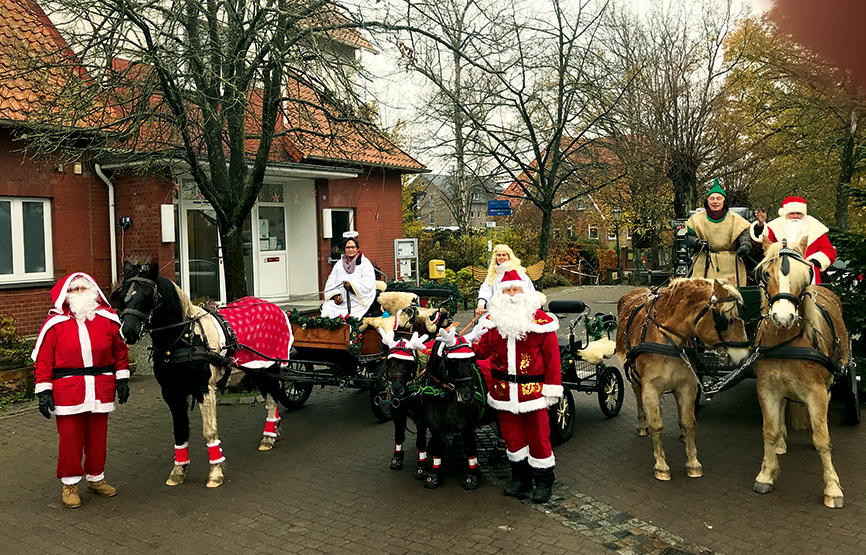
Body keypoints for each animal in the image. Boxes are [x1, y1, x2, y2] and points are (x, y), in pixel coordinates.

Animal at [114, 260, 294, 486]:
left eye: (148, 296)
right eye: (122, 295)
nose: (127, 331)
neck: (186, 337)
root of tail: (273, 305)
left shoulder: (204, 389)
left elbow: (209, 431)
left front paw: (216, 471)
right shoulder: (171, 392)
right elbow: (180, 431)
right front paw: (178, 470)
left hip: (267, 367)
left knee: (271, 399)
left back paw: (268, 437)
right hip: (256, 370)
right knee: (272, 399)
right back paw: (273, 429)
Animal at [616, 280, 748, 480]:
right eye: (727, 321)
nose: (744, 356)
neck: (667, 339)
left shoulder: (687, 384)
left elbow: (689, 422)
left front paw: (693, 462)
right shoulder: (650, 388)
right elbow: (657, 425)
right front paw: (661, 465)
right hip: (635, 378)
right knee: (638, 396)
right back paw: (642, 425)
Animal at [752, 239, 848, 508]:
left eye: (805, 275)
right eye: (766, 274)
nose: (783, 317)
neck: (785, 341)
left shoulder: (817, 393)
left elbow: (822, 439)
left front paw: (833, 488)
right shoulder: (767, 387)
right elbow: (770, 431)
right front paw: (766, 474)